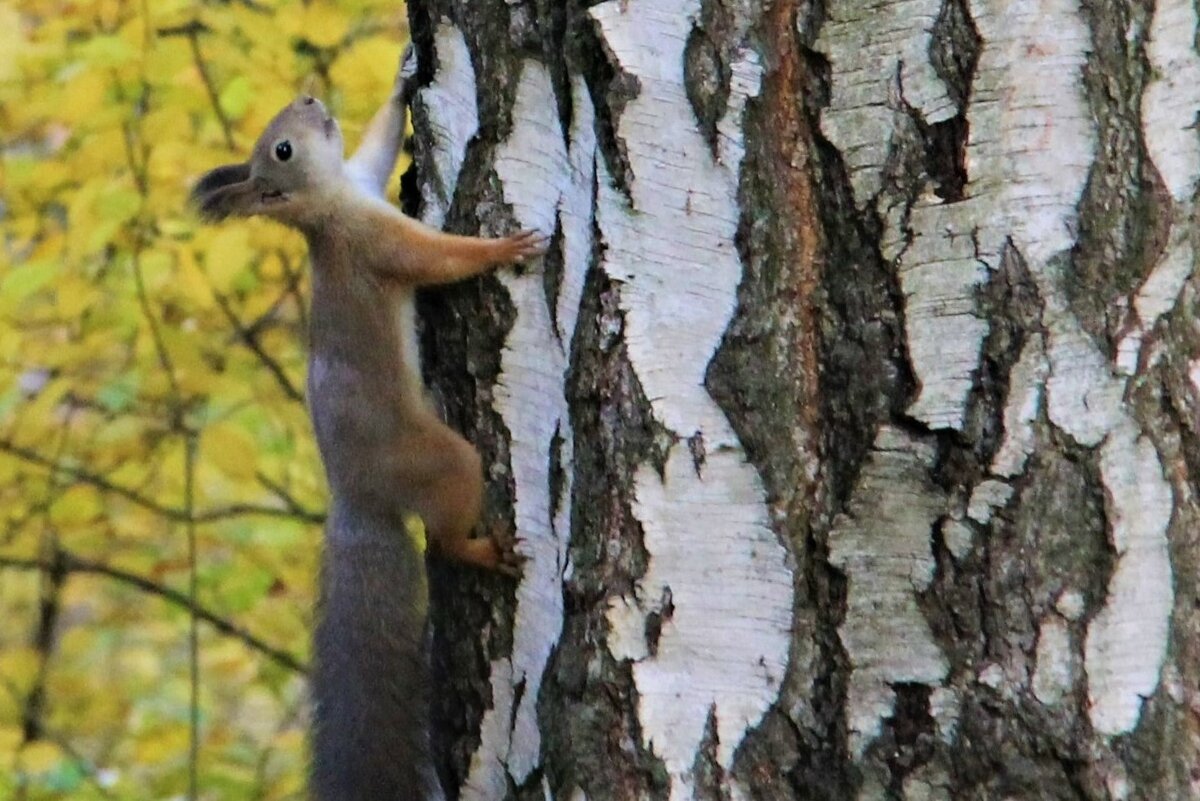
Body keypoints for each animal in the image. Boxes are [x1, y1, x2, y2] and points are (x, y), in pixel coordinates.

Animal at [191, 46, 541, 801]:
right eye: (283, 150)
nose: (309, 101)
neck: (330, 207)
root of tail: (356, 496)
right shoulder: (374, 240)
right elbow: (437, 260)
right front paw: (499, 250)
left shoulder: (363, 180)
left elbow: (378, 148)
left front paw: (405, 77)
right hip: (439, 456)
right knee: (444, 536)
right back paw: (482, 551)